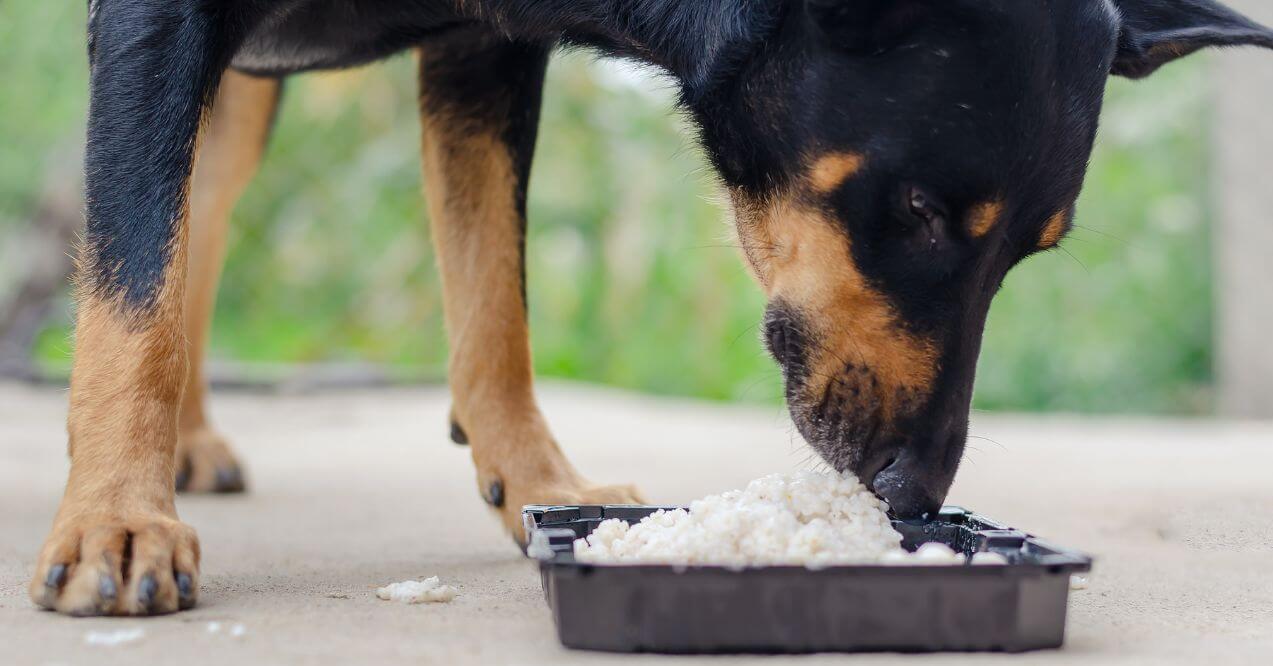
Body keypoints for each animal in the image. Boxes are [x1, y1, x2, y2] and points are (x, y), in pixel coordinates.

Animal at [29, 0, 1273, 618]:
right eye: (918, 209)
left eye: (1028, 249)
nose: (913, 493)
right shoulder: (157, 19)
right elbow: (130, 278)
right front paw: (116, 519)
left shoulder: (483, 46)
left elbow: (495, 294)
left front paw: (537, 480)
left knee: (203, 206)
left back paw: (190, 439)